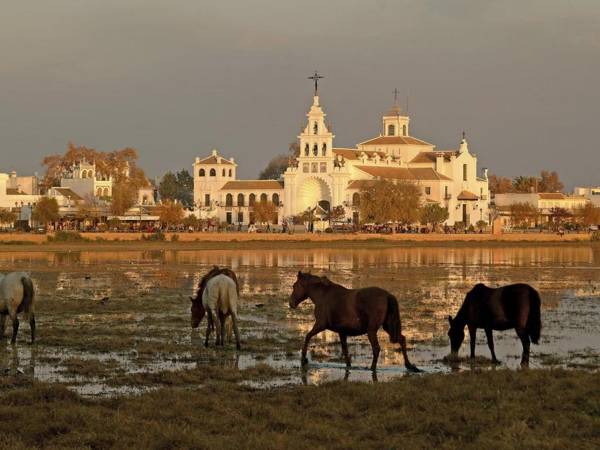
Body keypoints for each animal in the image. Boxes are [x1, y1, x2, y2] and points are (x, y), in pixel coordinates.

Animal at [288, 270, 420, 372]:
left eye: (294, 285)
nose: (291, 303)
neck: (323, 295)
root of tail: (387, 295)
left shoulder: (320, 324)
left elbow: (307, 336)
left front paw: (303, 359)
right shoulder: (342, 332)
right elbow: (345, 350)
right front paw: (348, 366)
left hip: (371, 330)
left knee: (376, 348)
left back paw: (372, 368)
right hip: (387, 326)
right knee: (402, 340)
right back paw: (410, 366)